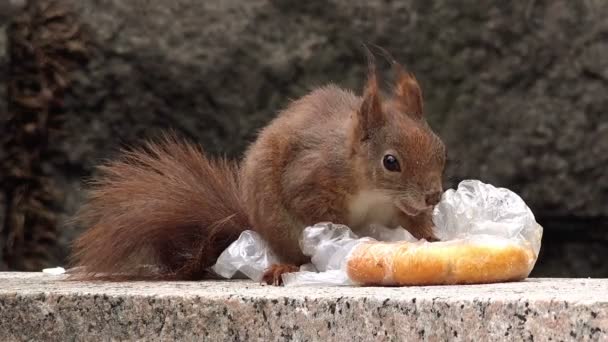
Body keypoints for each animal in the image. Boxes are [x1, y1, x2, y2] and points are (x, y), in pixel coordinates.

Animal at [70, 56, 446, 286]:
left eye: (440, 149)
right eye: (390, 162)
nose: (433, 196)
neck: (372, 190)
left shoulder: (396, 208)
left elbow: (412, 222)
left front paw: (431, 237)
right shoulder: (310, 177)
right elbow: (319, 212)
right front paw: (345, 238)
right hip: (279, 224)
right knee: (296, 256)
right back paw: (286, 267)